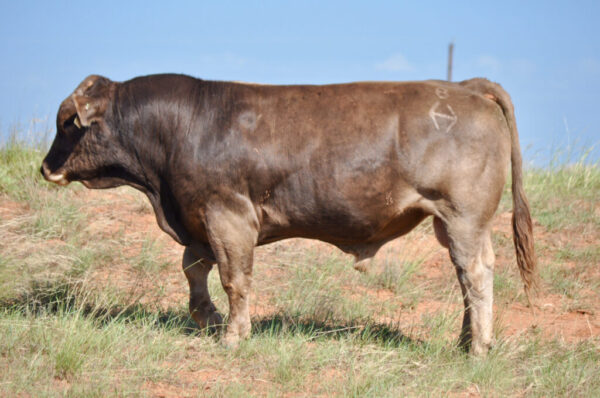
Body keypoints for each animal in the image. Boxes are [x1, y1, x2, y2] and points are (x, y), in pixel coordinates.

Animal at [43, 74, 540, 354]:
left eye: (67, 122)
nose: (46, 167)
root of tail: (464, 86)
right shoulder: (198, 218)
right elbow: (194, 270)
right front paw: (208, 318)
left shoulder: (228, 215)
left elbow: (234, 279)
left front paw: (232, 335)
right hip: (457, 222)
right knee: (469, 276)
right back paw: (466, 341)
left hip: (462, 216)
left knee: (475, 274)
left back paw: (477, 348)